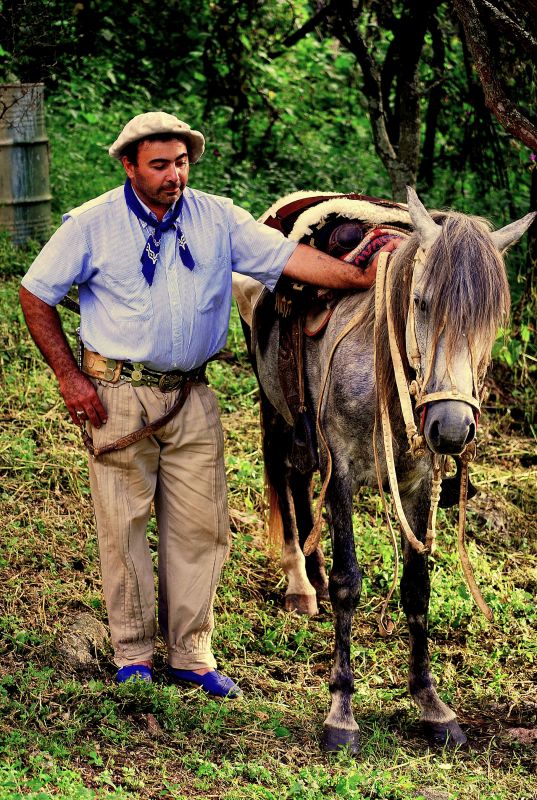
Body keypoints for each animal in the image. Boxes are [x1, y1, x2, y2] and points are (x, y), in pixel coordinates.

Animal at [233, 186, 532, 752]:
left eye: (493, 321)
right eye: (422, 302)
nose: (452, 428)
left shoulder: (419, 482)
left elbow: (417, 587)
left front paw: (431, 704)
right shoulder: (344, 470)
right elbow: (350, 583)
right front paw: (342, 712)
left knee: (301, 479)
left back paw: (313, 574)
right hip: (275, 409)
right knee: (283, 476)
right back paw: (301, 583)